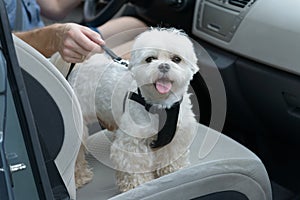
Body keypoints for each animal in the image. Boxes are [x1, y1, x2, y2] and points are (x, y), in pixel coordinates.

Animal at [63, 27, 199, 191]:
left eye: (176, 59)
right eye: (150, 59)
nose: (164, 66)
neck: (160, 105)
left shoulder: (177, 136)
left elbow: (172, 155)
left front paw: (173, 171)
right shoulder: (132, 141)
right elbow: (134, 163)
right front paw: (137, 185)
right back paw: (79, 178)